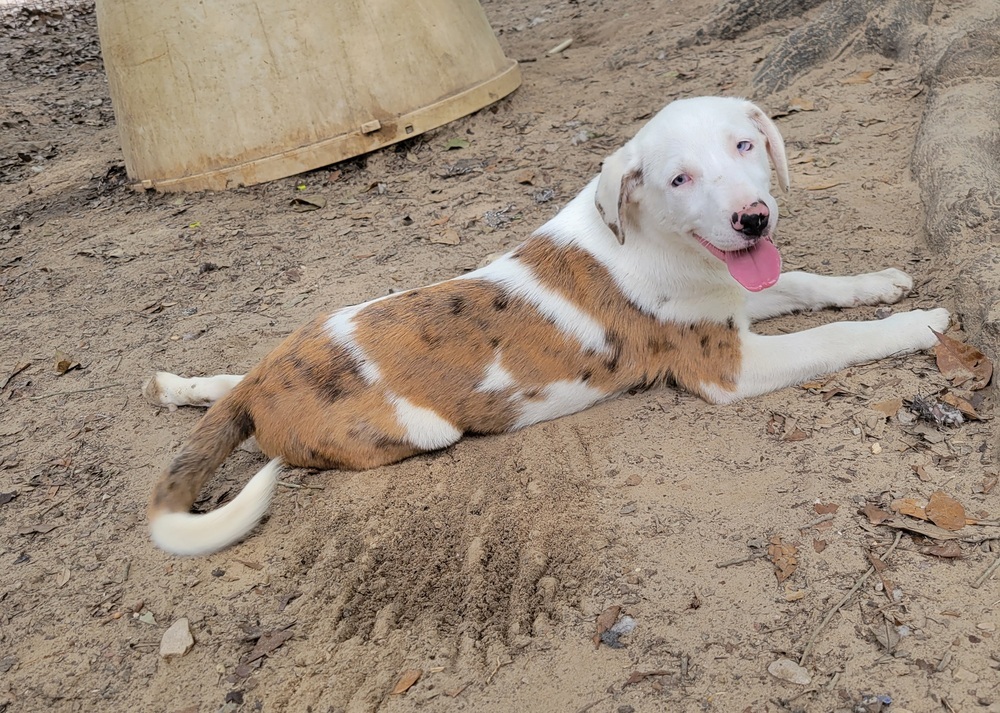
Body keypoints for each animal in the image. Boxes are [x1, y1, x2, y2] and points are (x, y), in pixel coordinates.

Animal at [145, 94, 948, 552]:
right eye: (678, 179)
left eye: (744, 146)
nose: (753, 218)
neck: (655, 237)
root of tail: (262, 388)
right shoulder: (728, 365)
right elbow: (838, 336)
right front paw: (920, 323)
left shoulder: (733, 295)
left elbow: (807, 283)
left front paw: (878, 283)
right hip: (420, 431)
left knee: (224, 383)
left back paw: (190, 386)